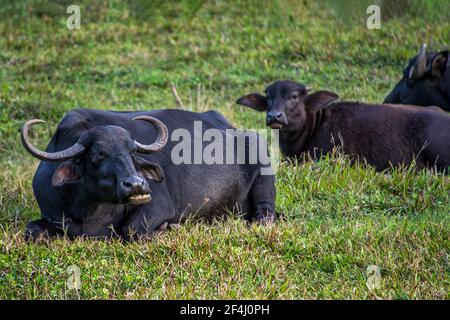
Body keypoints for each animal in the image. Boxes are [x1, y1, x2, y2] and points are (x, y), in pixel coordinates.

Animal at [22, 109, 276, 241]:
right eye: (99, 154)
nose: (136, 185)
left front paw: (170, 228)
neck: (91, 213)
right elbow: (31, 231)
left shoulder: (158, 206)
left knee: (266, 213)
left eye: (132, 151)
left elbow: (132, 230)